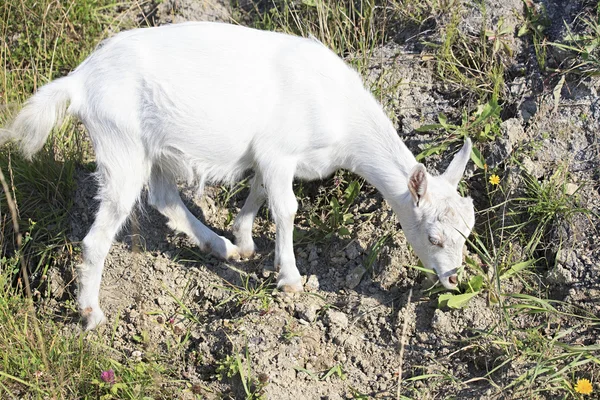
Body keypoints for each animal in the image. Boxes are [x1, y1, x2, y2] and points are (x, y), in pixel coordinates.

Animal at [2, 20, 476, 330]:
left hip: (151, 151)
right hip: (122, 146)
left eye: (467, 233)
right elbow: (286, 207)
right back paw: (92, 315)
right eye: (433, 237)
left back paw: (222, 246)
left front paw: (245, 240)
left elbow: (259, 192)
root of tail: (79, 81)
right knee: (100, 233)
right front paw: (290, 279)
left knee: (163, 197)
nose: (455, 279)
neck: (341, 115)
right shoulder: (279, 151)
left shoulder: (269, 156)